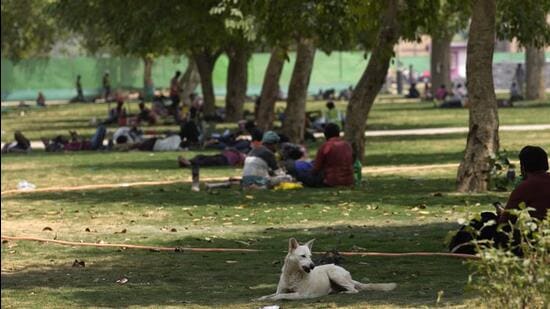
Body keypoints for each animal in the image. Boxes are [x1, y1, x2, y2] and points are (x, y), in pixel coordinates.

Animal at [258, 237, 396, 300]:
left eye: (310, 256)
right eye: (303, 256)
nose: (313, 266)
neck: (293, 274)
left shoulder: (300, 294)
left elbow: (281, 296)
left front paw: (271, 299)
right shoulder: (280, 290)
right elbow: (272, 294)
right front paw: (261, 298)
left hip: (335, 274)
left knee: (354, 289)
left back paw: (344, 292)